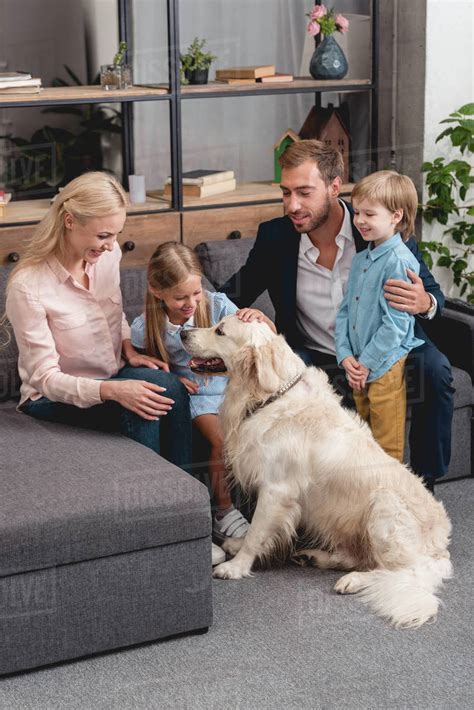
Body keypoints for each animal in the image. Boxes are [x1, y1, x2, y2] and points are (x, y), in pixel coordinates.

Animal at [181, 318, 452, 628]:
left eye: (220, 331)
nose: (183, 333)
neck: (271, 396)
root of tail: (440, 548)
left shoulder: (276, 490)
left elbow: (257, 532)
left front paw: (236, 566)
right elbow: (254, 531)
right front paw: (237, 546)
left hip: (383, 507)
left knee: (401, 572)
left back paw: (354, 580)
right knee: (358, 557)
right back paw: (314, 557)